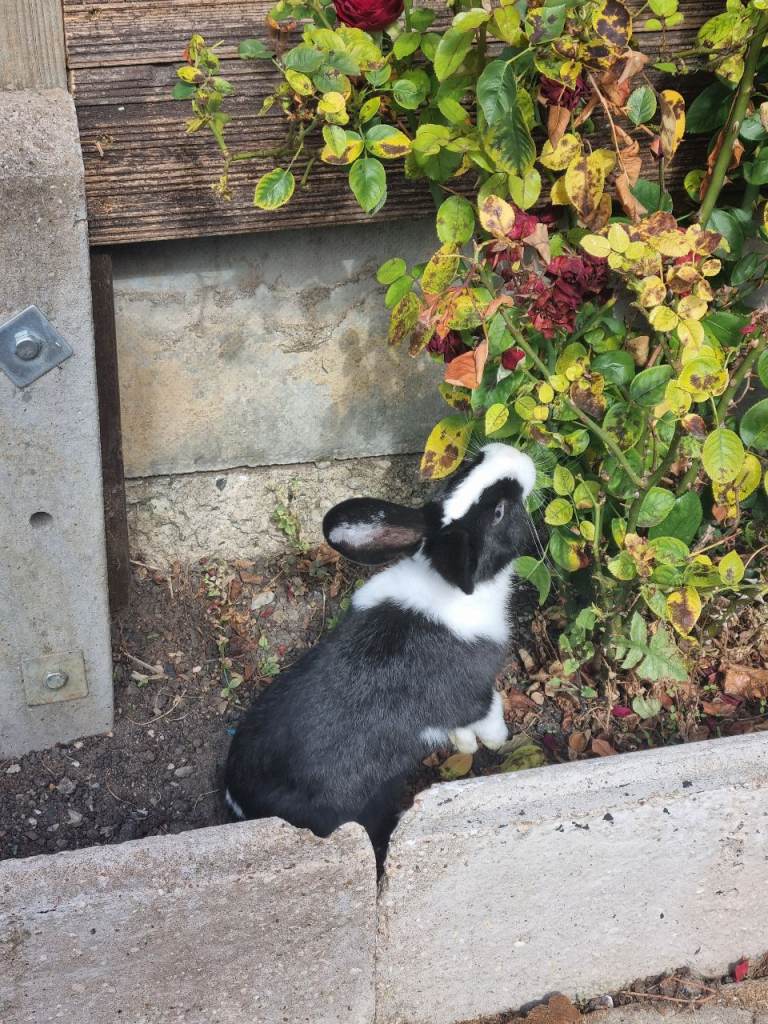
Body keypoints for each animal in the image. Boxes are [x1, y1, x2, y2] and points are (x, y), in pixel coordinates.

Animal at [224, 442, 537, 865]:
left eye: (461, 472)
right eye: (500, 512)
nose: (511, 454)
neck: (440, 579)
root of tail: (243, 805)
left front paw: (465, 744)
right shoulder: (473, 695)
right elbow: (490, 714)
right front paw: (492, 743)